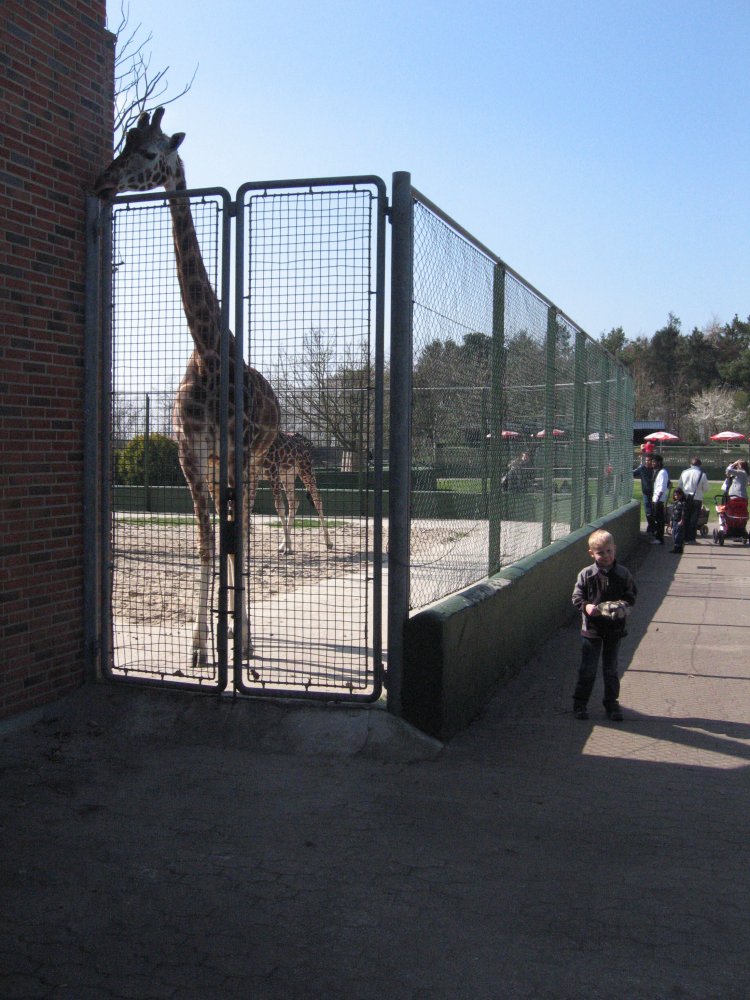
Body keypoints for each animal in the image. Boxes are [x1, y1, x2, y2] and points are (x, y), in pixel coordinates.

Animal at [94, 108, 280, 665]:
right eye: (124, 142)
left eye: (151, 151)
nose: (103, 181)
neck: (207, 351)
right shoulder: (190, 455)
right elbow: (204, 544)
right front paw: (200, 649)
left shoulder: (235, 453)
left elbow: (232, 541)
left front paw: (233, 642)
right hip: (224, 466)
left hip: (256, 461)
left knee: (245, 533)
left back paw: (246, 638)